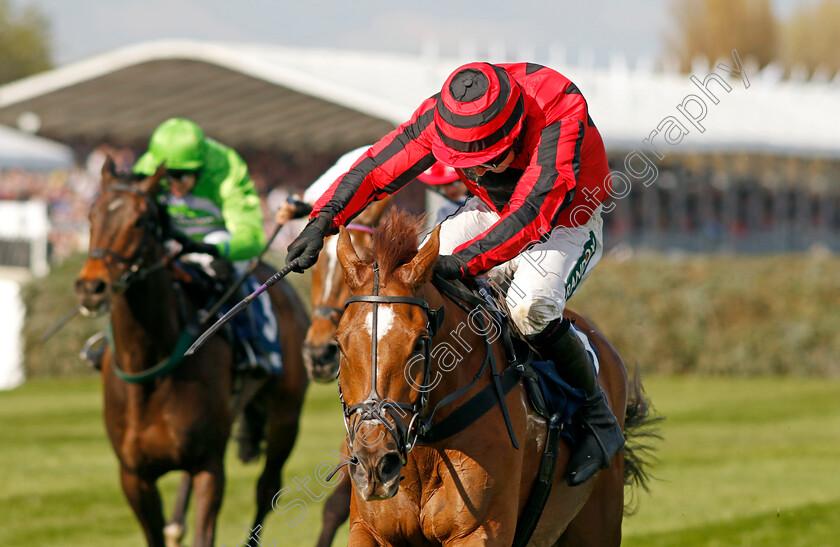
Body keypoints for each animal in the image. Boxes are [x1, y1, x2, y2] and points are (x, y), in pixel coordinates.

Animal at [74, 157, 310, 544]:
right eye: (92, 214)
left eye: (141, 220)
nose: (91, 287)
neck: (150, 367)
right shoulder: (134, 477)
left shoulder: (209, 467)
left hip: (285, 414)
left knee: (267, 487)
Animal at [334, 211, 656, 547]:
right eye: (340, 344)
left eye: (420, 343)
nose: (374, 463)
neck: (427, 445)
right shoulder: (368, 530)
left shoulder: (479, 531)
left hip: (596, 524)